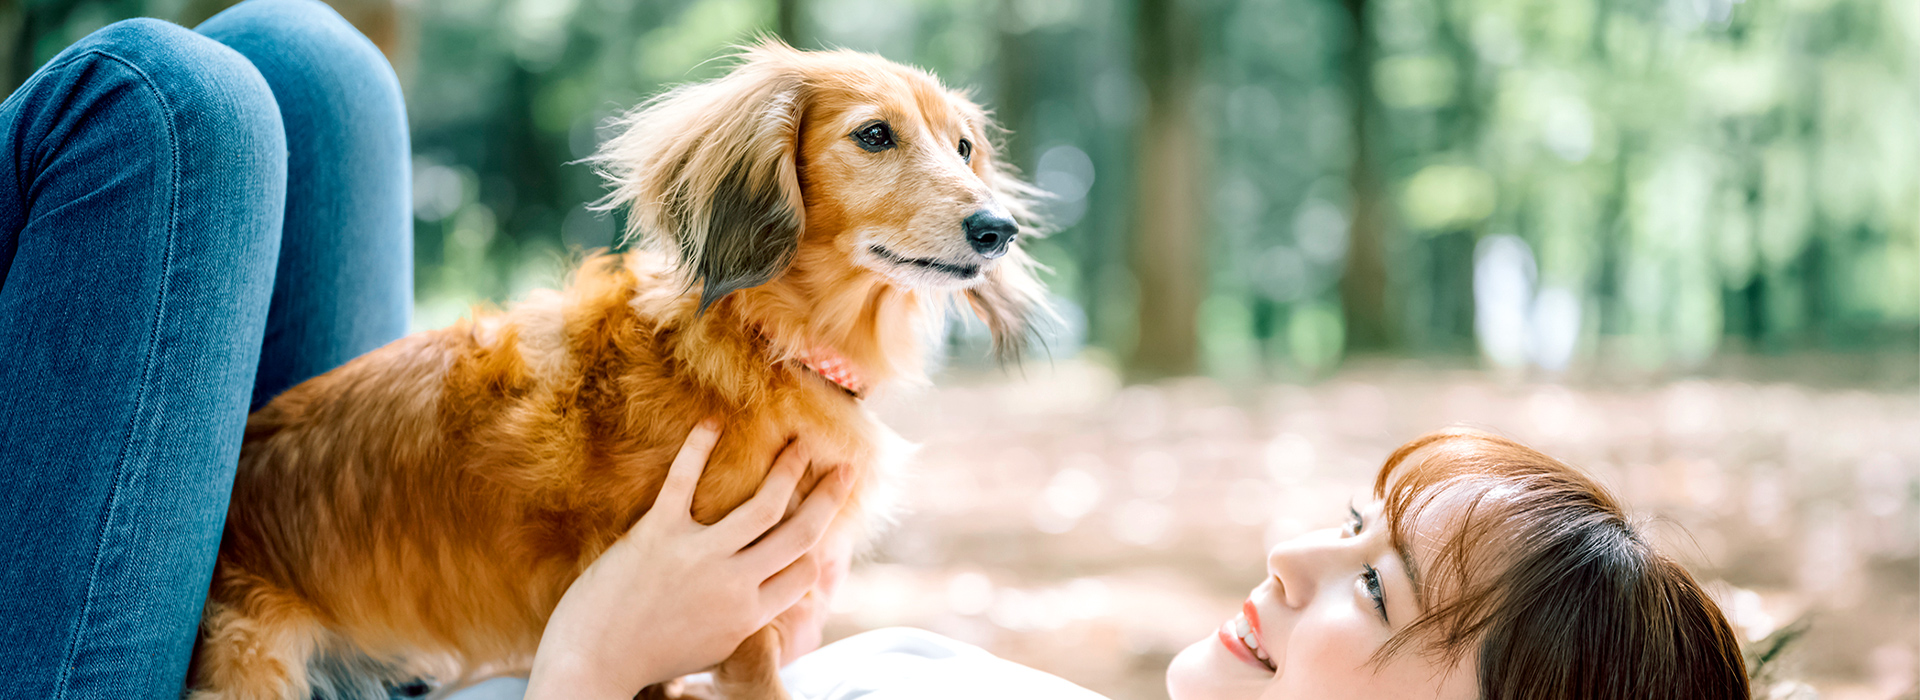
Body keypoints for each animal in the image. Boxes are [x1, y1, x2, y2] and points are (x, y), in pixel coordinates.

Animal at [187, 42, 1044, 698]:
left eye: (962, 147)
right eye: (873, 135)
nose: (996, 229)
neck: (764, 338)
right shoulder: (733, 604)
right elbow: (752, 677)